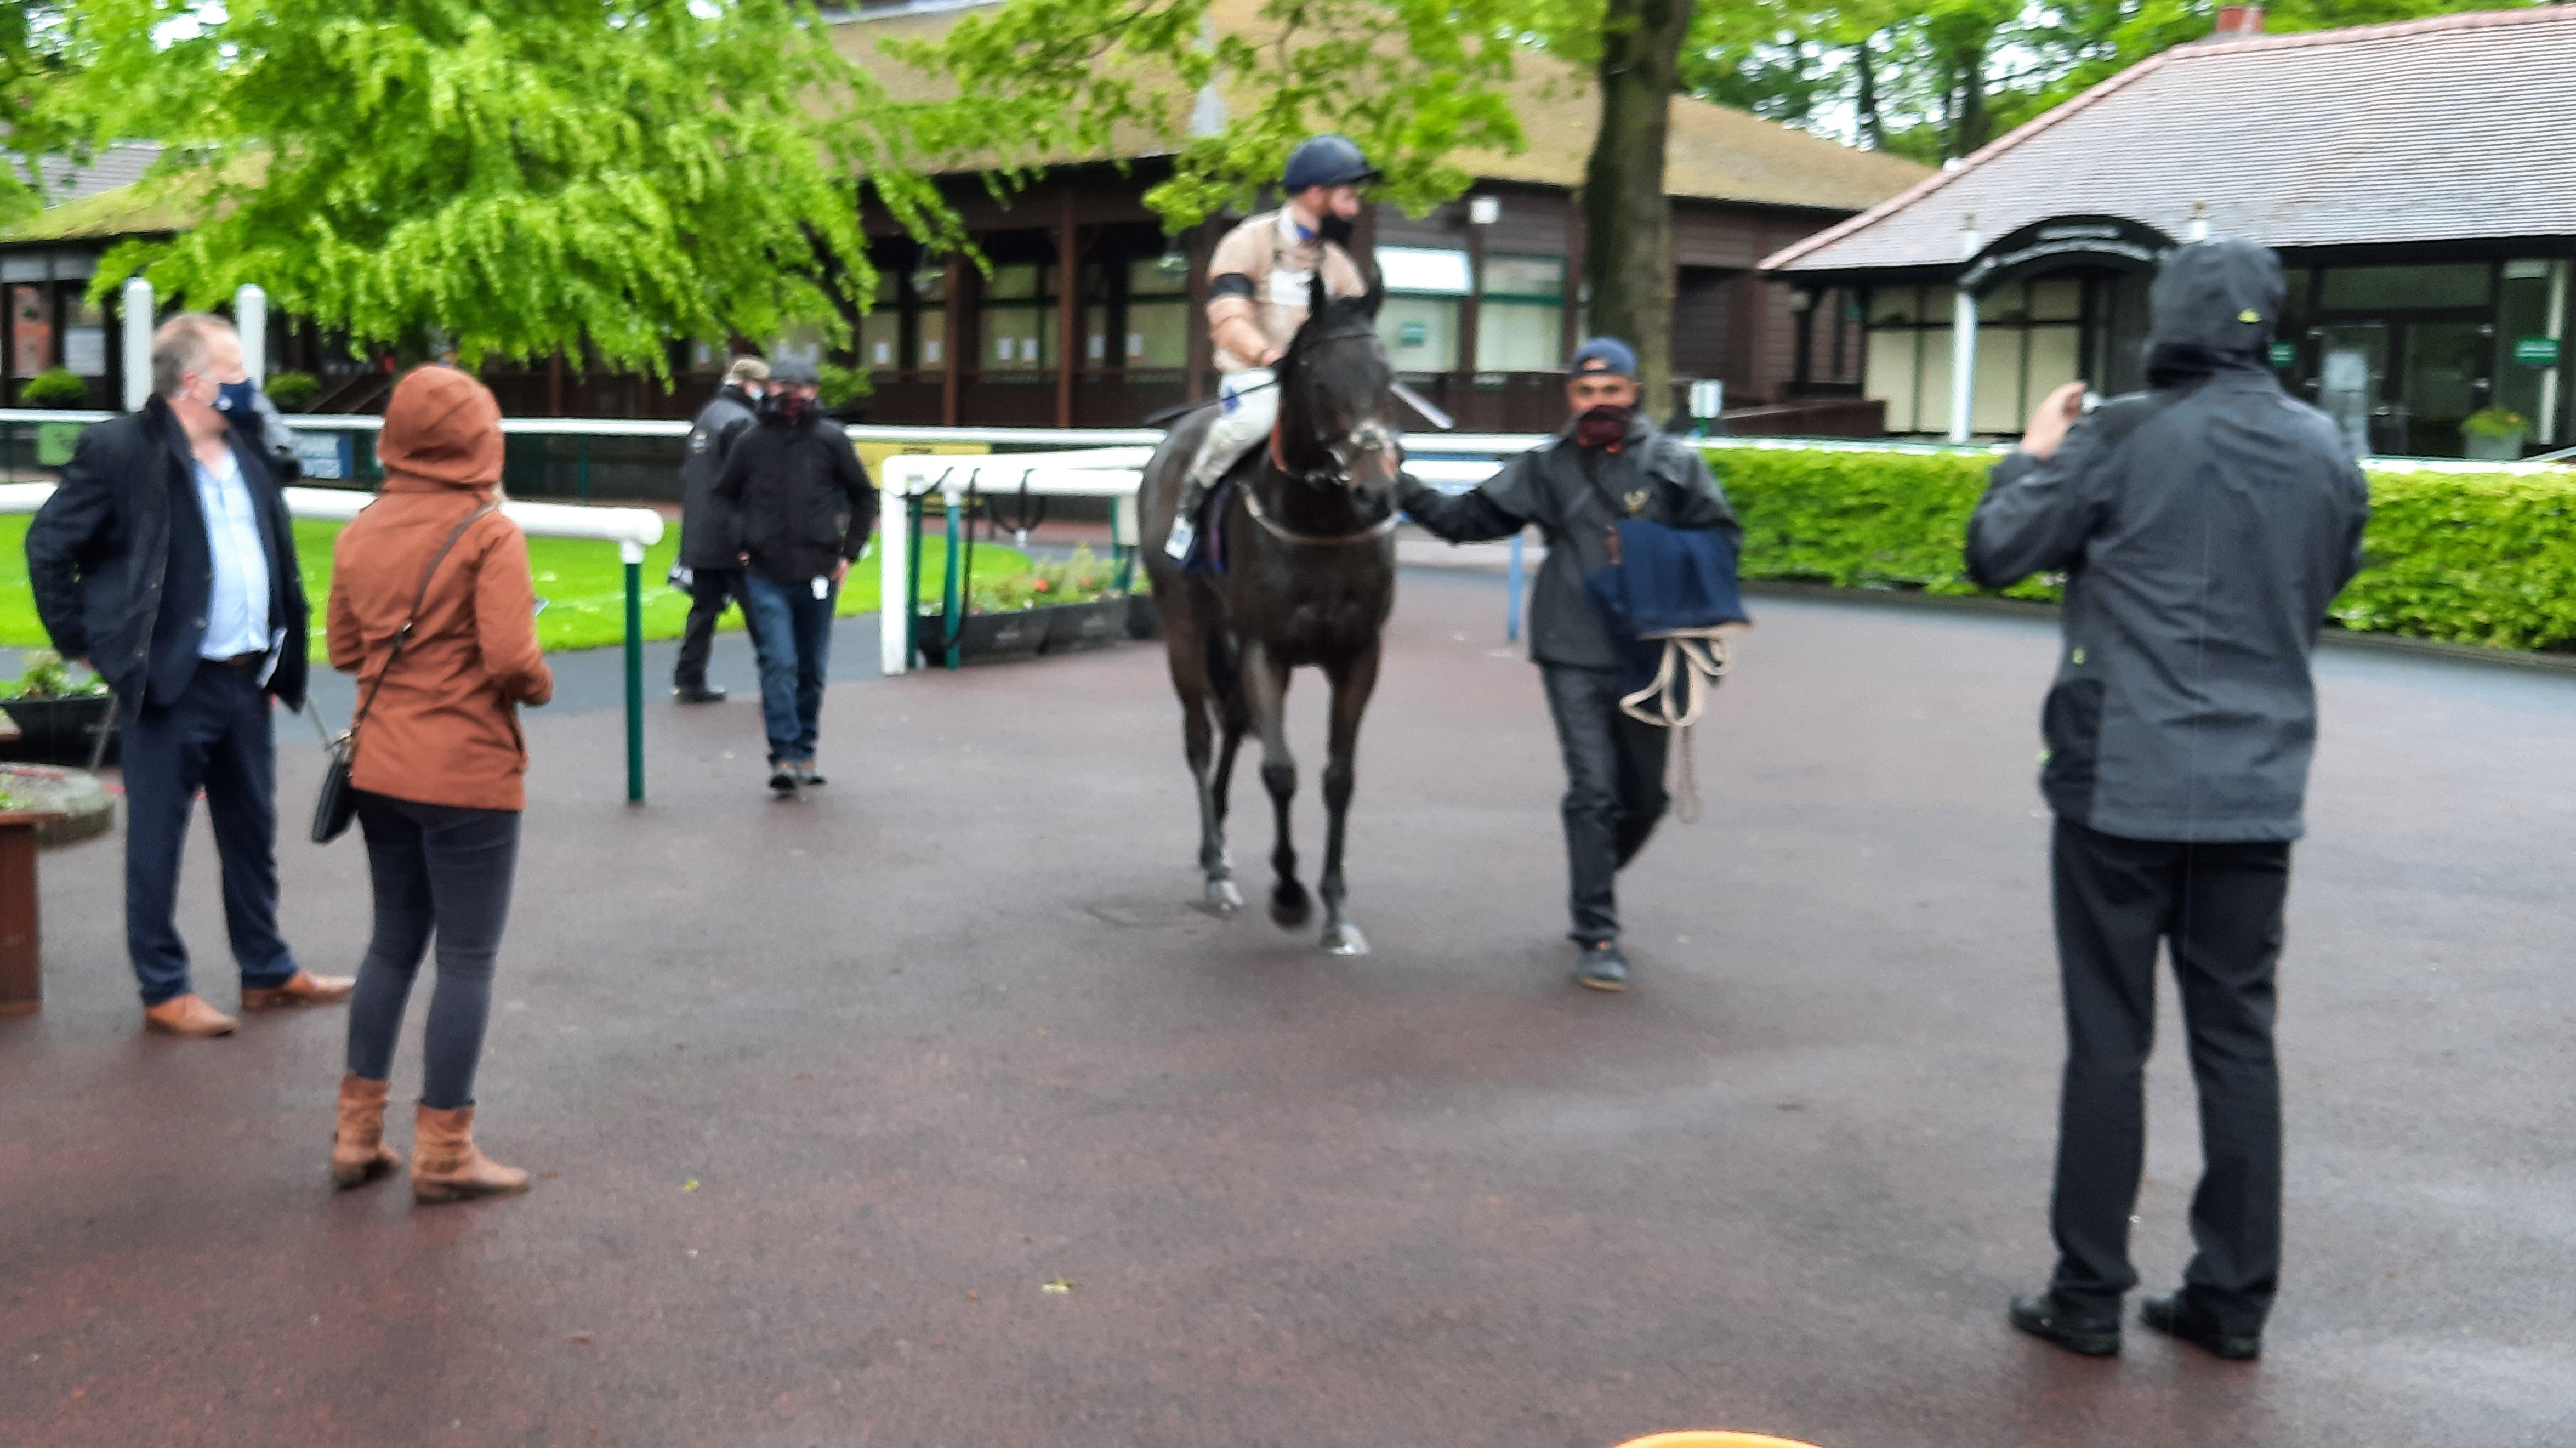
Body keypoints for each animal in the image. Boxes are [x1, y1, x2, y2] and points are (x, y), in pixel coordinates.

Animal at [1138, 279, 1401, 958]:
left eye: (1387, 374)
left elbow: (1339, 778)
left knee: (1231, 720)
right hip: (1183, 627)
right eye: (1318, 376)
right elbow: (1281, 771)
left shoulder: (1359, 654)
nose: (1374, 493)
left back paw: (1221, 842)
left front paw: (1336, 908)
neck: (1320, 524)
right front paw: (1289, 894)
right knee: (1199, 738)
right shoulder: (1268, 648)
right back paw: (1214, 868)